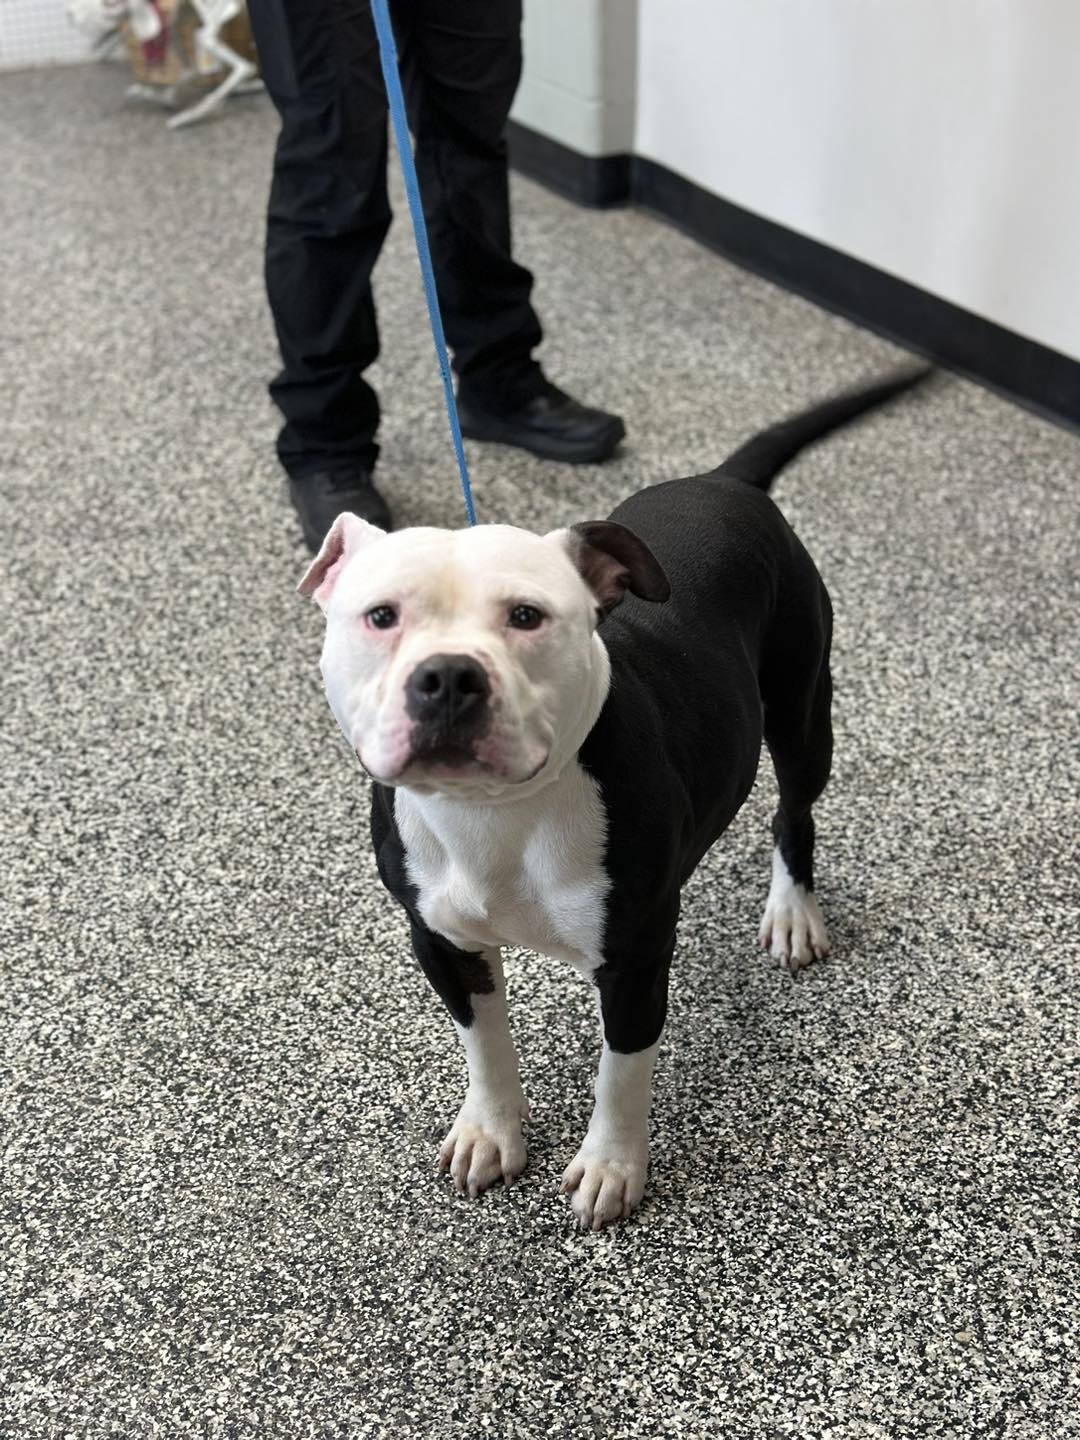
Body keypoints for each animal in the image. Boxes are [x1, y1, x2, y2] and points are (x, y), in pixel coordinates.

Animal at [298, 368, 933, 1226]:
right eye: (380, 616)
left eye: (527, 616)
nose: (449, 676)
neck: (494, 813)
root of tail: (725, 482)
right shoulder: (439, 940)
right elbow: (485, 1044)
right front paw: (492, 1130)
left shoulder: (634, 959)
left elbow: (622, 1072)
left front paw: (610, 1167)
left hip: (804, 713)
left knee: (793, 812)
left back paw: (793, 911)